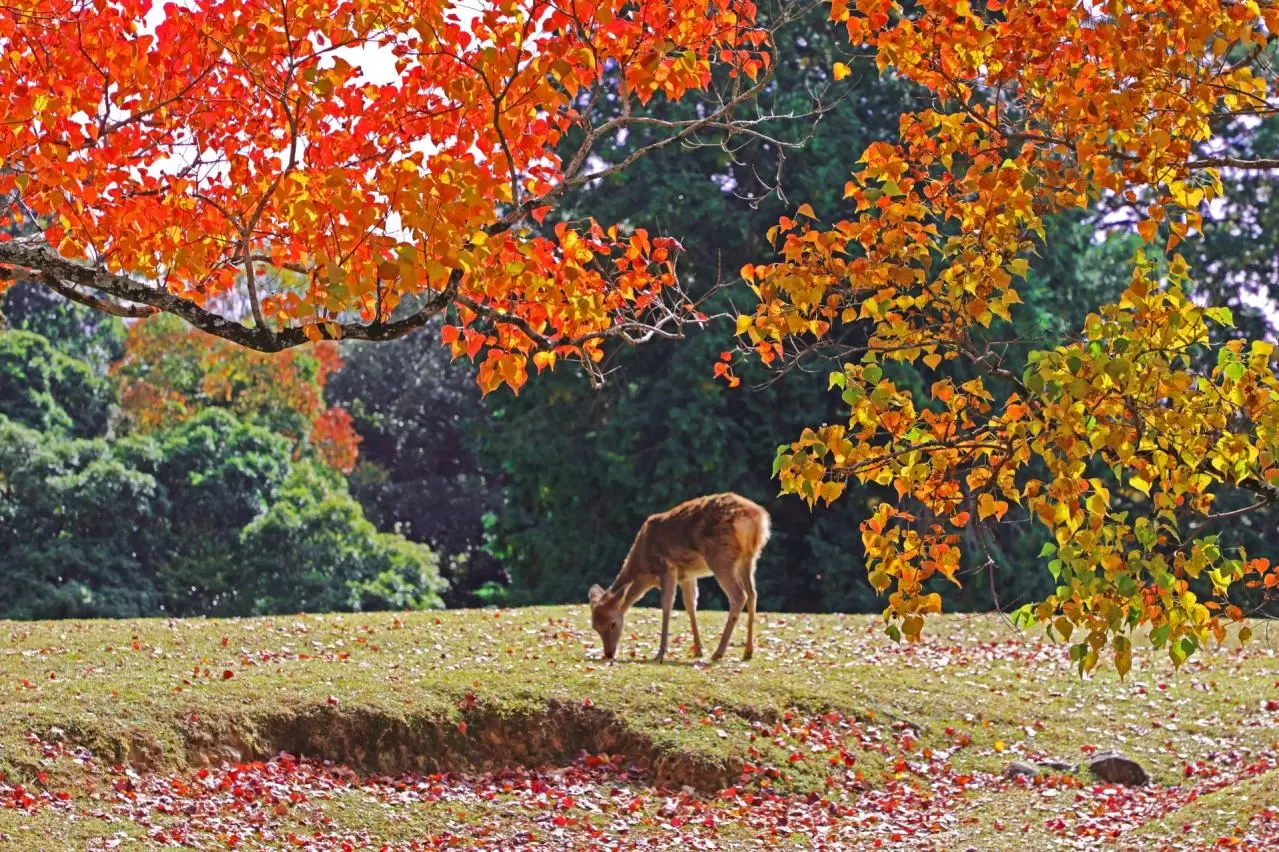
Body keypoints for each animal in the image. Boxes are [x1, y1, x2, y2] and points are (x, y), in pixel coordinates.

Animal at [587, 492, 771, 664]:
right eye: (595, 627)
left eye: (613, 623)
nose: (608, 653)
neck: (645, 570)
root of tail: (756, 517)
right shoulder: (687, 576)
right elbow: (690, 606)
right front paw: (698, 650)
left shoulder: (667, 569)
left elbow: (667, 606)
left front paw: (660, 654)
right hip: (749, 558)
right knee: (752, 594)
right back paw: (748, 651)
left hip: (721, 557)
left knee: (739, 595)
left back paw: (718, 652)